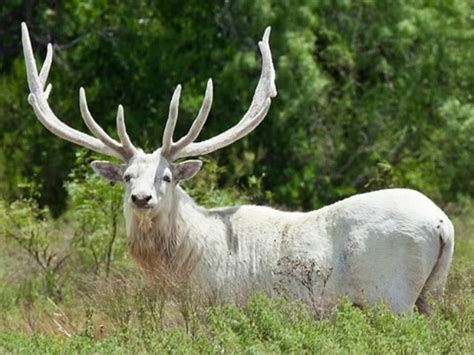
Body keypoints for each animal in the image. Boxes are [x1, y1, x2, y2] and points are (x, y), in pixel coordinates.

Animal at [20, 23, 454, 314]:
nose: (141, 198)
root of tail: (442, 224)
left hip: (391, 294)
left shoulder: (222, 304)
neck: (183, 267)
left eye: (166, 177)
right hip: (429, 294)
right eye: (126, 177)